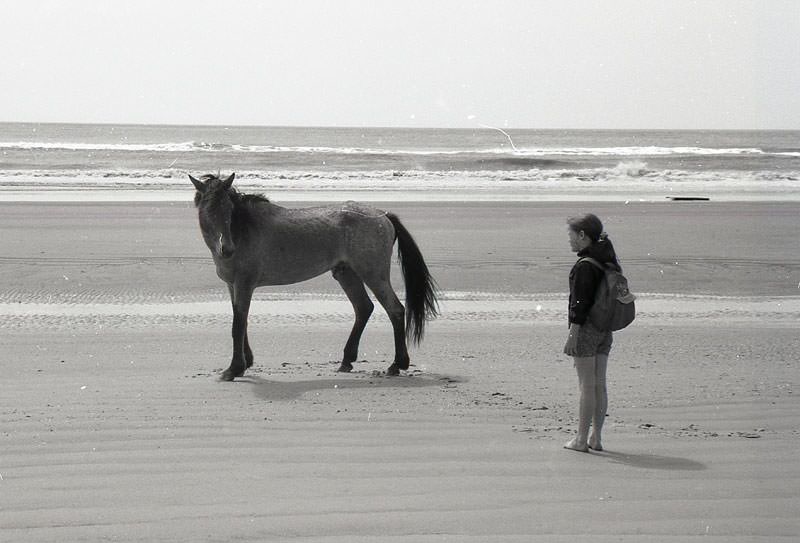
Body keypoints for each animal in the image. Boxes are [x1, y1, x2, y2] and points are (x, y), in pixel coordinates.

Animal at [190, 173, 439, 381]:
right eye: (207, 210)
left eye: (228, 209)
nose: (227, 249)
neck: (243, 231)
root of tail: (383, 215)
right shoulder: (234, 286)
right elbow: (241, 322)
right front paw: (245, 363)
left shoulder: (244, 284)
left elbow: (237, 325)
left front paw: (233, 369)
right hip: (346, 274)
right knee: (363, 308)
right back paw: (347, 361)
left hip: (374, 275)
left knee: (395, 310)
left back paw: (397, 364)